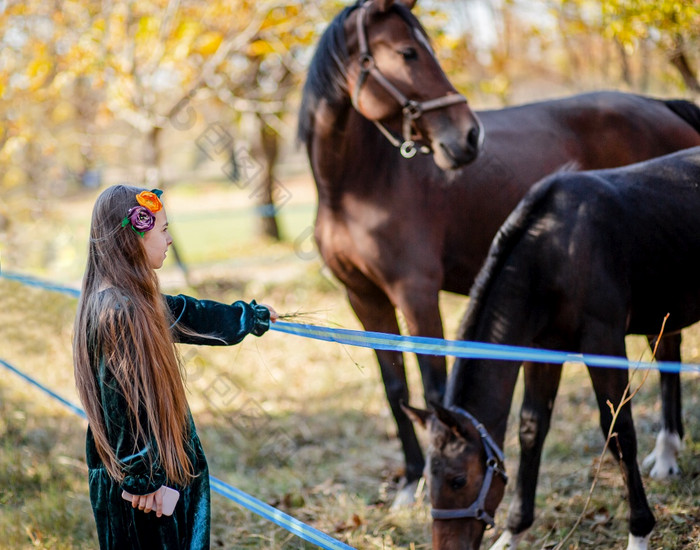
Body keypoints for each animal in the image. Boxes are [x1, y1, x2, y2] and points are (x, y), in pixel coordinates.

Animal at [298, 0, 700, 504]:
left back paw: (666, 454)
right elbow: (395, 389)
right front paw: (409, 481)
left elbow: (433, 388)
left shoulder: (416, 293)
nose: (469, 137)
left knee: (667, 350)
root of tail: (661, 105)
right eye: (408, 53)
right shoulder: (364, 299)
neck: (357, 188)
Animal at [404, 147, 700, 550]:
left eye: (458, 480)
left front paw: (639, 532)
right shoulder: (541, 348)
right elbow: (531, 428)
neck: (555, 251)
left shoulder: (603, 340)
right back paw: (668, 453)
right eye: (428, 482)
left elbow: (619, 429)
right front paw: (512, 533)